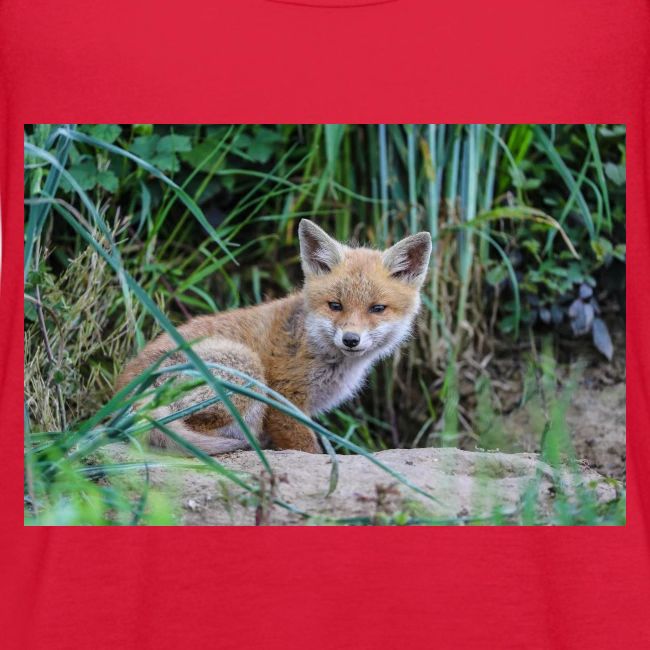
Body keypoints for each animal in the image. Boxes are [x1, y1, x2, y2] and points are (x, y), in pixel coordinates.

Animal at [117, 219, 432, 454]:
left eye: (377, 309)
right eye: (335, 305)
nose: (351, 339)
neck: (313, 344)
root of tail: (124, 395)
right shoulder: (284, 400)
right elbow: (308, 449)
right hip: (246, 369)